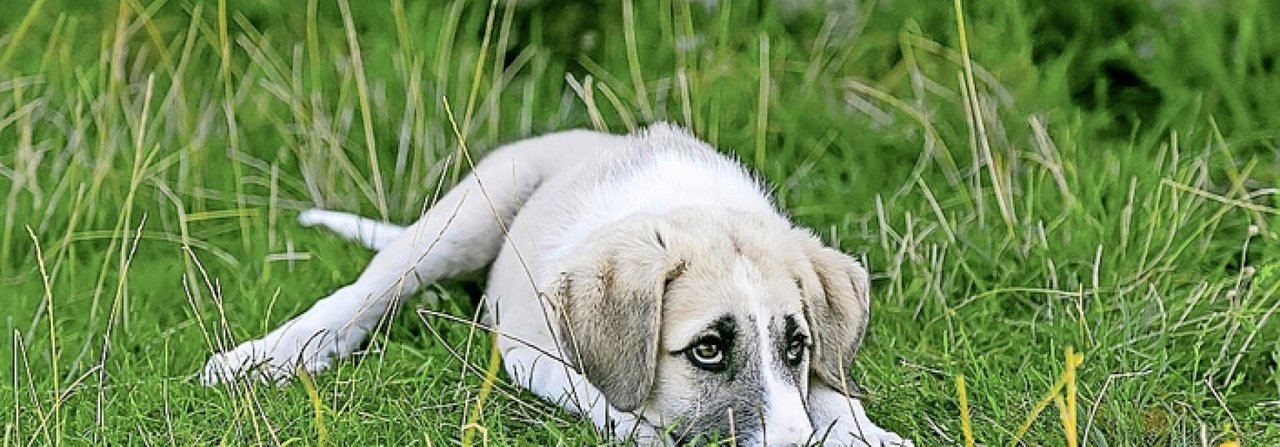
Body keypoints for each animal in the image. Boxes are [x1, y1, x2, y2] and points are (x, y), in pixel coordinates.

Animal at [202, 122, 911, 445]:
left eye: (797, 347)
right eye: (708, 350)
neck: (688, 208)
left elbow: (829, 395)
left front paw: (865, 433)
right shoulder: (530, 352)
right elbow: (615, 405)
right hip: (469, 213)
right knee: (368, 291)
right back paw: (267, 356)